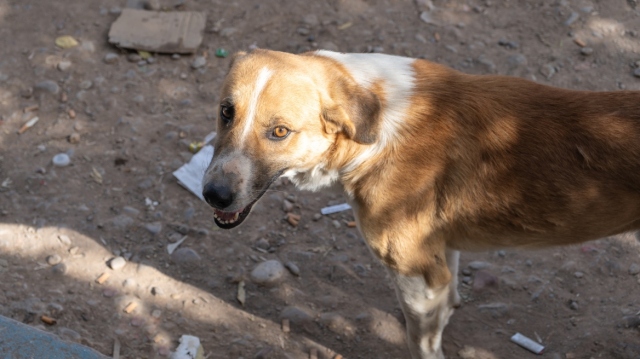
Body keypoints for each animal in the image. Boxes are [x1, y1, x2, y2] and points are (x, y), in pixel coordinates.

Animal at [202, 50, 640, 359]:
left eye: (280, 132)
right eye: (226, 112)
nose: (213, 195)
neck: (376, 126)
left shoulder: (416, 271)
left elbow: (422, 340)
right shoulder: (439, 256)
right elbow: (443, 298)